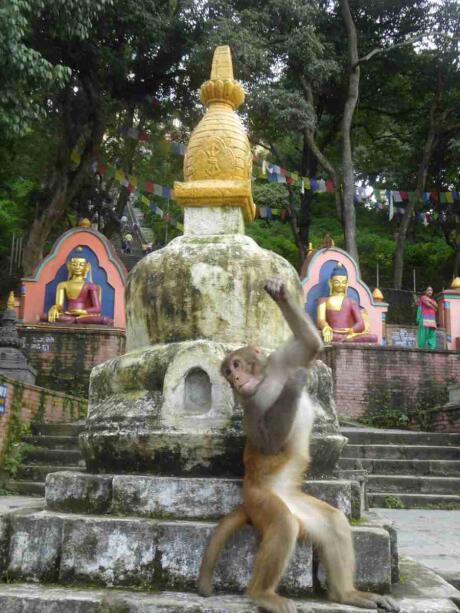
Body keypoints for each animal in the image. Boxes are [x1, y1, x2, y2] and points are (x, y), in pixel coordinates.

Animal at [198, 280, 398, 612]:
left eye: (235, 365)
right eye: (227, 373)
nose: (235, 378)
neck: (264, 381)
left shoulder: (281, 359)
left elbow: (310, 345)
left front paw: (281, 294)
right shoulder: (249, 405)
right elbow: (267, 442)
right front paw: (293, 385)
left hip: (298, 502)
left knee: (334, 522)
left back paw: (347, 594)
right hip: (261, 499)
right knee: (283, 525)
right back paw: (262, 594)